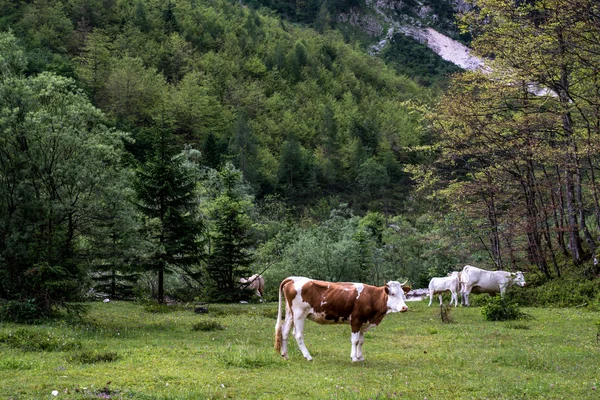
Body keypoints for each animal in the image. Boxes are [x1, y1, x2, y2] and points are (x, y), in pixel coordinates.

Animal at [274, 276, 410, 360]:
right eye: (393, 294)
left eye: (403, 294)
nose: (405, 307)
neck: (371, 297)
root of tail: (294, 278)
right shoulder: (356, 320)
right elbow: (355, 340)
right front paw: (354, 358)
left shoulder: (363, 322)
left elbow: (361, 341)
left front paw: (360, 357)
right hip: (299, 314)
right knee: (298, 334)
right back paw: (308, 356)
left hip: (290, 314)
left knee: (284, 332)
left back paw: (285, 355)